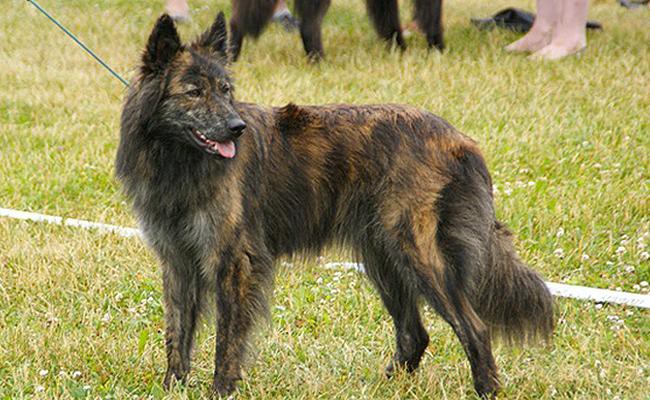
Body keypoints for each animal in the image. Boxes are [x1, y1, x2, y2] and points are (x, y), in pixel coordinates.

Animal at [116, 12, 552, 396]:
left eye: (225, 90)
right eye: (194, 92)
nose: (236, 128)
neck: (177, 160)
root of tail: (457, 139)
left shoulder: (233, 263)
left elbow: (227, 341)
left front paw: (220, 391)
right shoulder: (178, 262)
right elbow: (177, 335)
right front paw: (172, 387)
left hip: (418, 256)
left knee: (473, 328)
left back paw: (486, 390)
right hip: (384, 260)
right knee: (415, 333)